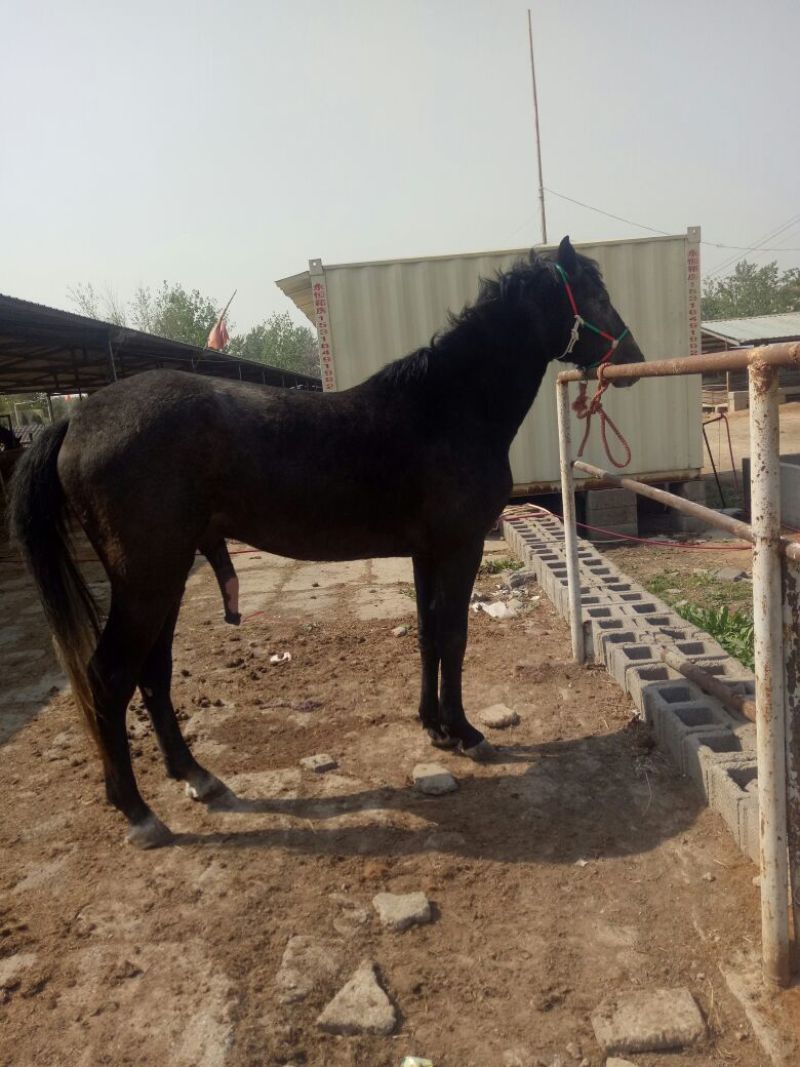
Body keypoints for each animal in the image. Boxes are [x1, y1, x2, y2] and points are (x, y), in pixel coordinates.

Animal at [9, 237, 644, 849]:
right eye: (593, 293)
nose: (634, 359)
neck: (447, 408)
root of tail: (77, 418)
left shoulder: (425, 553)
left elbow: (428, 637)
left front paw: (435, 728)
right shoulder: (460, 548)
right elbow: (454, 637)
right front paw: (466, 733)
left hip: (163, 580)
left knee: (153, 673)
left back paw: (196, 776)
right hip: (148, 581)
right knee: (110, 677)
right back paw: (138, 813)